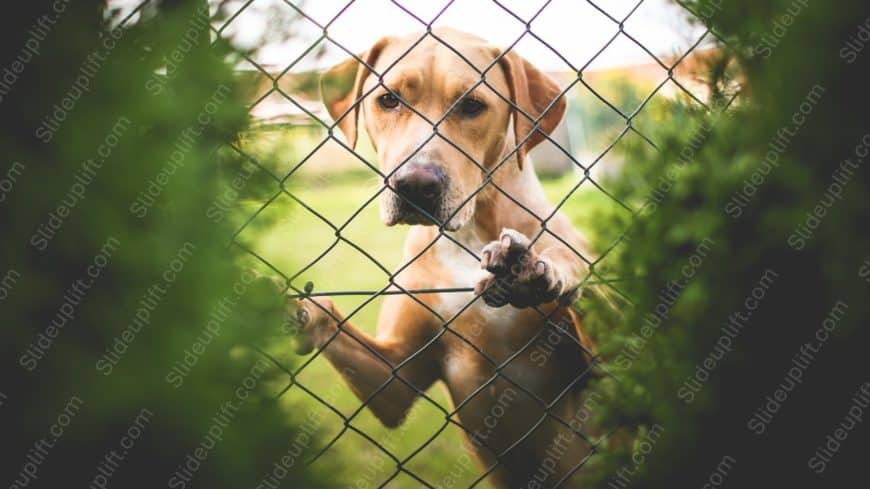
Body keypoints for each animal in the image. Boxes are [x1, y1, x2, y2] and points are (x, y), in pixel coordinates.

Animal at [296, 29, 596, 488]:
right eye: (388, 99)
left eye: (472, 105)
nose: (415, 186)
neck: (469, 233)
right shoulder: (396, 377)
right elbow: (337, 325)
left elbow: (575, 266)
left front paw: (538, 268)